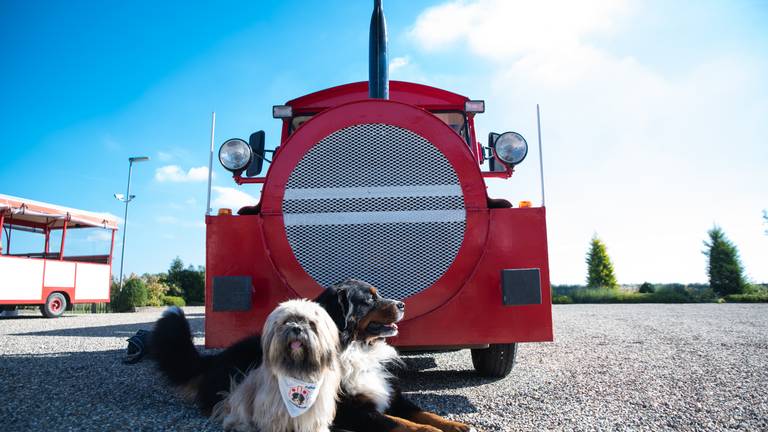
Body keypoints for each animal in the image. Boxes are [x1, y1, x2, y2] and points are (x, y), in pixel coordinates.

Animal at [212, 300, 340, 432]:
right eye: (286, 321)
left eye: (311, 323)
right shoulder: (273, 410)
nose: (297, 328)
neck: (298, 372)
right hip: (243, 397)